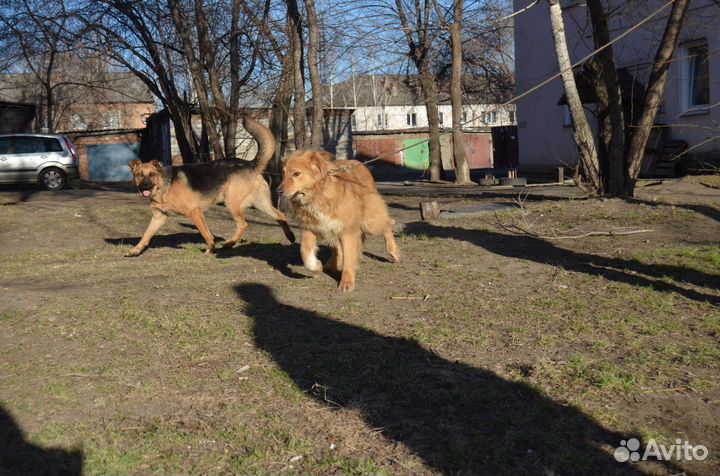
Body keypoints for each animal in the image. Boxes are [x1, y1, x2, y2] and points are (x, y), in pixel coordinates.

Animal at [125, 115, 294, 256]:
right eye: (140, 175)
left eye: (152, 174)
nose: (145, 186)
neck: (163, 185)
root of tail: (250, 164)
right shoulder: (158, 217)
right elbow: (145, 235)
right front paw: (135, 250)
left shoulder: (194, 212)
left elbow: (206, 234)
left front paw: (210, 249)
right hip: (260, 203)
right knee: (280, 215)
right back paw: (290, 236)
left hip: (232, 204)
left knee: (243, 225)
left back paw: (229, 244)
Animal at [280, 151, 400, 292]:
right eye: (283, 173)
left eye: (296, 174)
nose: (278, 191)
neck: (318, 194)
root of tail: (358, 163)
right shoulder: (310, 227)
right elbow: (305, 251)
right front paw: (316, 266)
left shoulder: (347, 230)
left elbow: (348, 257)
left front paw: (347, 282)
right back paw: (332, 263)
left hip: (369, 220)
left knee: (387, 225)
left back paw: (393, 251)